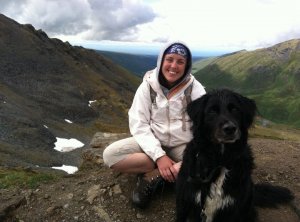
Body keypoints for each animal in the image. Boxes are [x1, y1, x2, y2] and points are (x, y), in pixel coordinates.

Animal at [176, 89, 292, 222]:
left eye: (235, 109)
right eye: (212, 111)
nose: (230, 128)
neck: (220, 161)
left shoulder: (235, 209)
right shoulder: (185, 203)